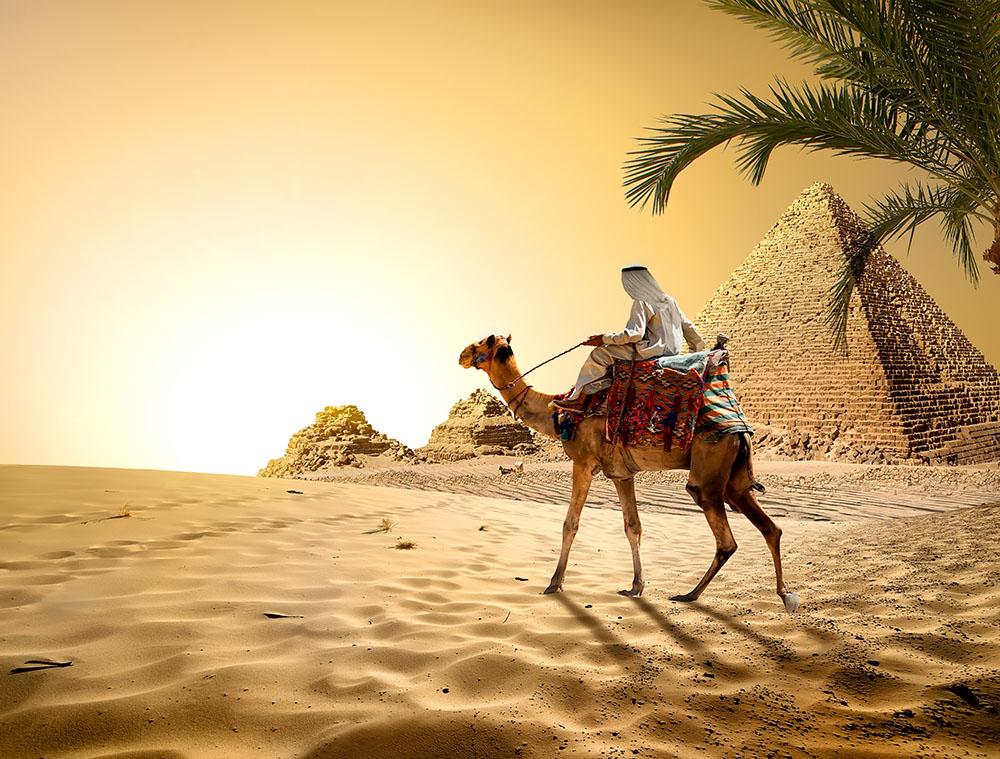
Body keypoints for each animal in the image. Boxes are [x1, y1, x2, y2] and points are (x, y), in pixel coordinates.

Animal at [459, 334, 800, 613]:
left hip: (709, 471)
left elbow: (570, 524)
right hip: (735, 480)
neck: (556, 412)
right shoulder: (622, 473)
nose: (461, 354)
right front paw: (636, 586)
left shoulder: (583, 462)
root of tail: (739, 427)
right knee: (771, 528)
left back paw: (689, 595)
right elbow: (632, 526)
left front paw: (554, 583)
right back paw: (784, 594)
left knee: (726, 537)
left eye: (480, 343)